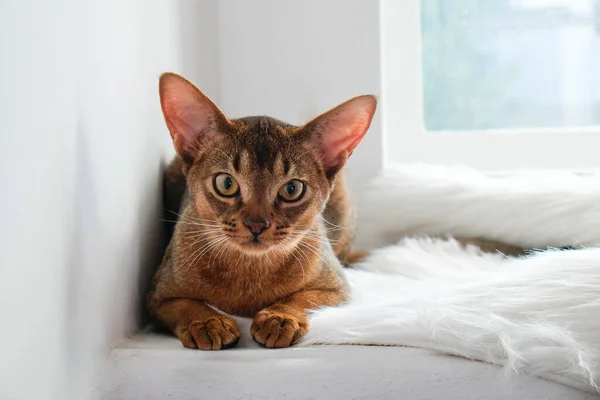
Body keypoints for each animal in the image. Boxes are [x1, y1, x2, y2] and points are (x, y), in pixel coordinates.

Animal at [145, 72, 376, 350]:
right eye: (226, 184)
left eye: (292, 189)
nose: (257, 224)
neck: (250, 270)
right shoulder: (158, 295)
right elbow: (186, 305)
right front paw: (208, 322)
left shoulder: (337, 288)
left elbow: (304, 298)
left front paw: (280, 318)